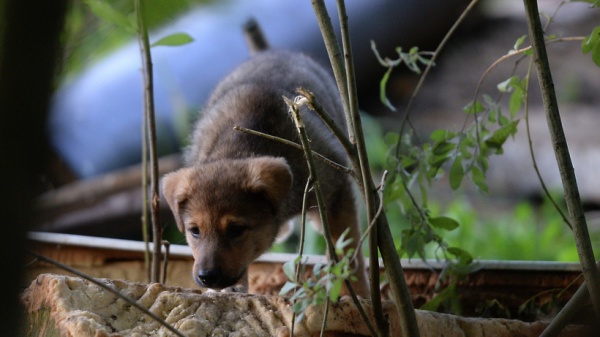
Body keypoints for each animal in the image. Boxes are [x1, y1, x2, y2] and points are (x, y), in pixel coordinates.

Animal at [164, 50, 368, 296]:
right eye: (194, 231)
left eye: (236, 230)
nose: (207, 277)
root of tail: (277, 52)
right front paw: (233, 289)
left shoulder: (337, 193)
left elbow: (346, 251)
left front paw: (356, 294)